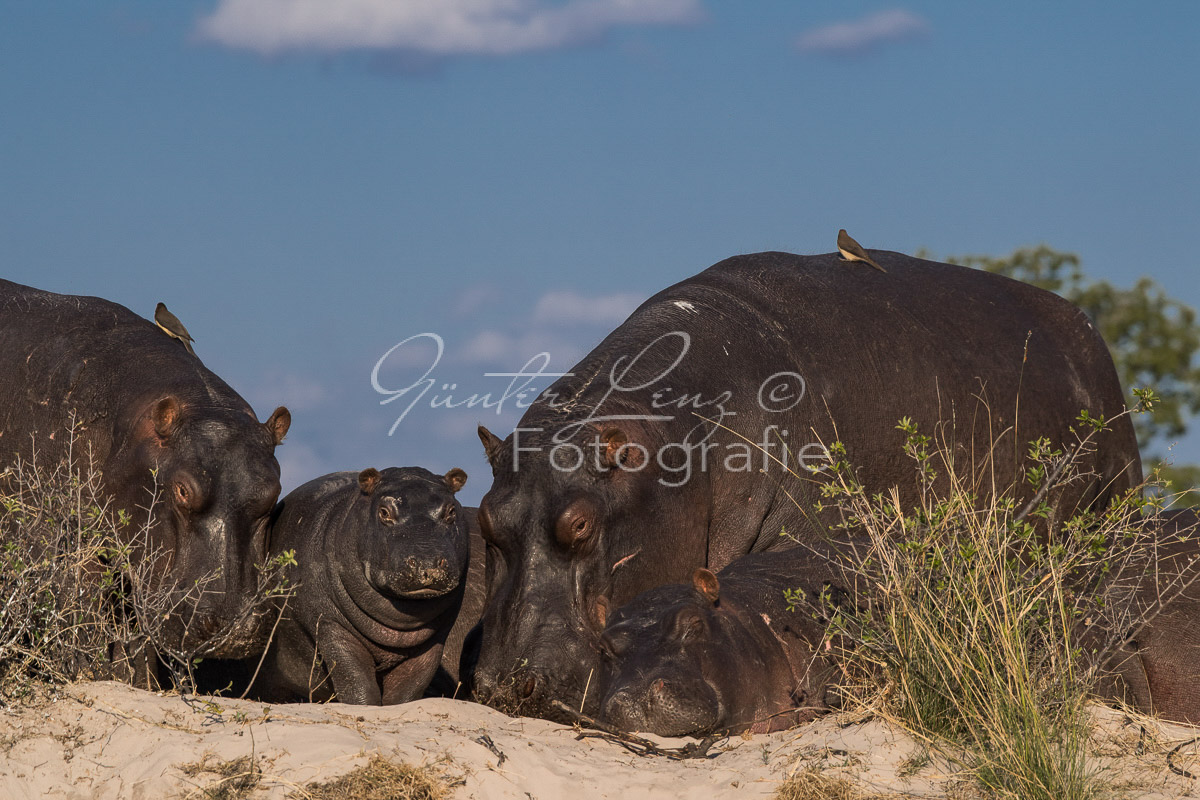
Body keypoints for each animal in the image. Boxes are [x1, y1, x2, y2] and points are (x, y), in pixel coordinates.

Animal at [255, 465, 470, 705]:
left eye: (451, 511)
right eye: (384, 511)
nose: (428, 562)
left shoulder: (435, 639)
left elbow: (407, 691)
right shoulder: (331, 625)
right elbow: (356, 681)